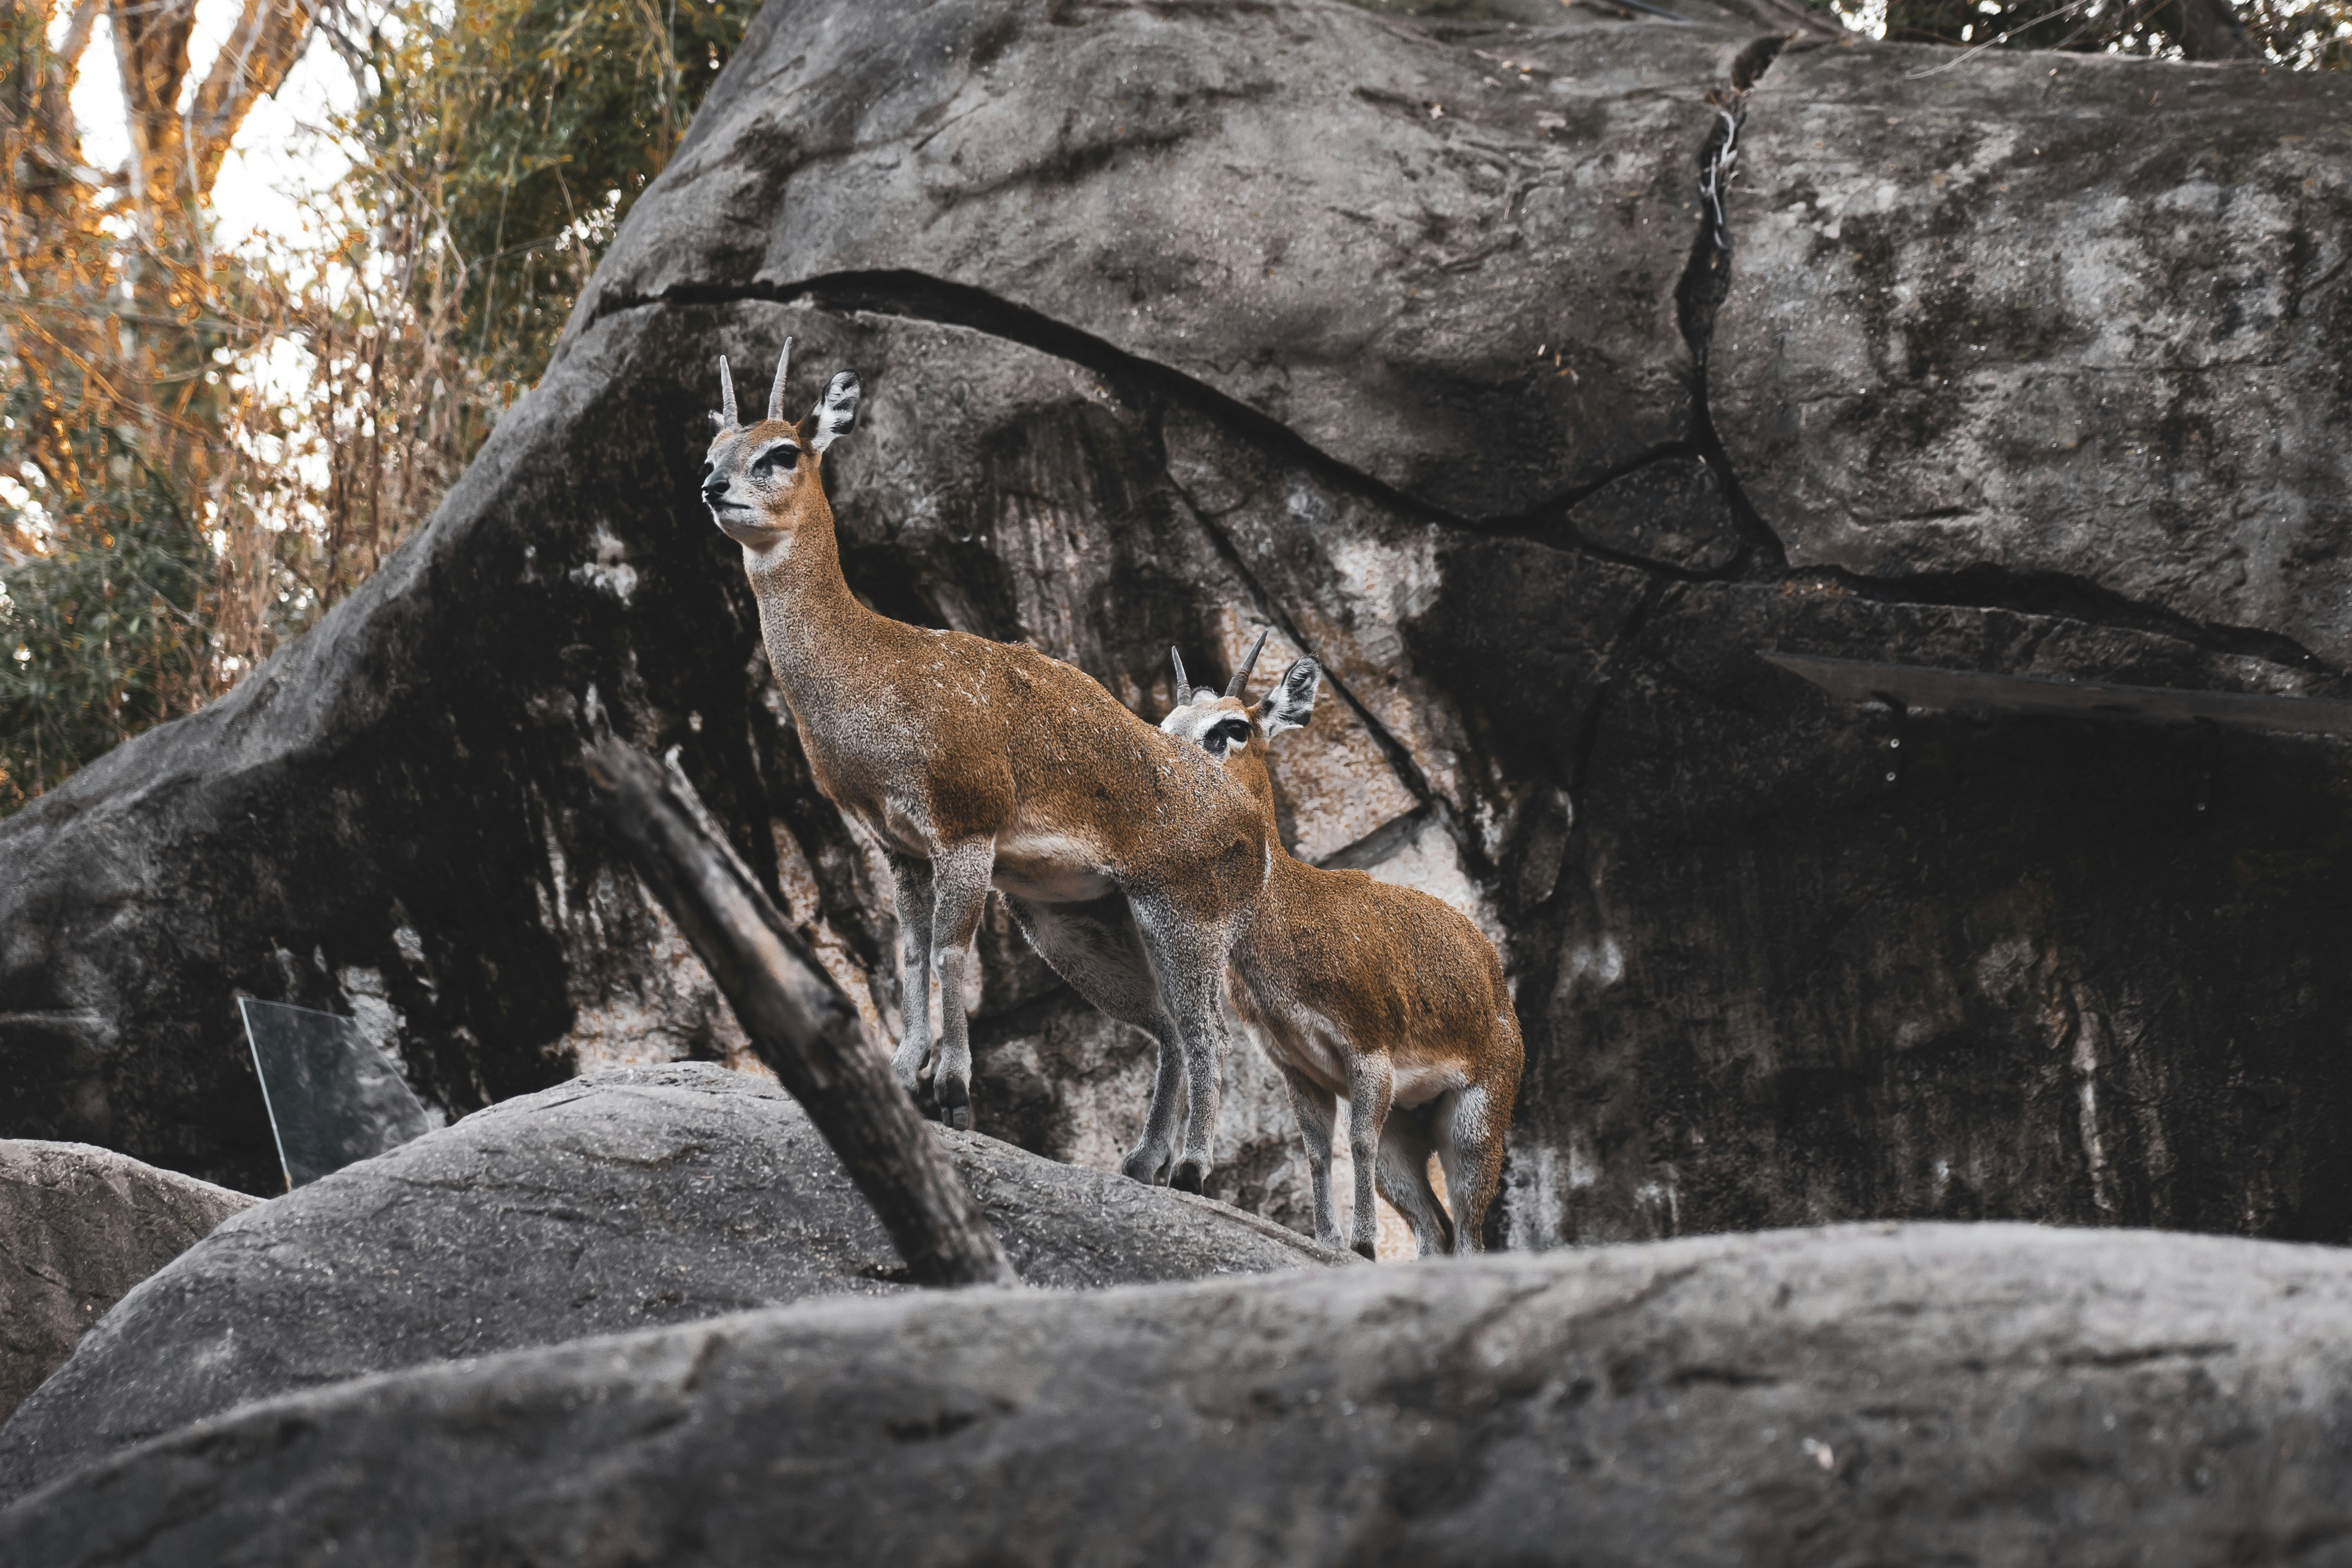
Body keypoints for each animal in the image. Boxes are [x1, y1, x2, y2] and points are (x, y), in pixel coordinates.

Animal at [698, 342, 1269, 1193]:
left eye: (782, 451)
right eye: (710, 452)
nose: (712, 489)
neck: (875, 673)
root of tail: (1257, 831)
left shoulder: (964, 825)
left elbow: (949, 950)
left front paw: (954, 1090)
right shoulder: (896, 846)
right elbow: (906, 955)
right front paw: (904, 1075)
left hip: (1188, 916)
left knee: (1211, 1029)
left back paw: (1194, 1167)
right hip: (1078, 920)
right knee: (1168, 1024)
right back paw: (1141, 1161)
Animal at [1158, 638, 1524, 1257]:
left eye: (1232, 727)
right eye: (1168, 722)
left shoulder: (1367, 1053)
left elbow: (1355, 1146)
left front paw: (1362, 1244)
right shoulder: (1296, 1069)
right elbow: (1316, 1153)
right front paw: (1329, 1239)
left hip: (1474, 1127)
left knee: (1469, 1236)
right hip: (1408, 1127)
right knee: (1435, 1228)